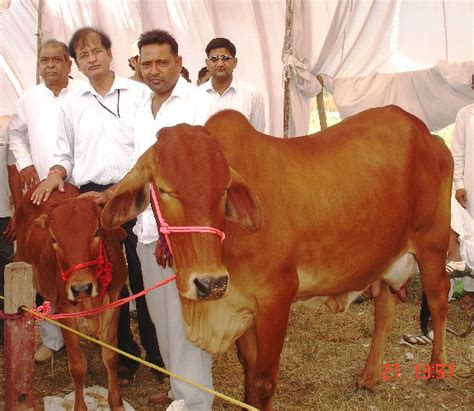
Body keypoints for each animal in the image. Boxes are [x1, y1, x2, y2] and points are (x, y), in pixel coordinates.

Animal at [16, 183, 128, 411]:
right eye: (54, 239)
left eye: (96, 232)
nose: (81, 287)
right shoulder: (66, 309)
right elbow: (77, 366)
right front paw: (80, 406)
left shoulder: (114, 302)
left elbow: (110, 356)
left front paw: (116, 402)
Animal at [101, 107, 452, 411]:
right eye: (164, 189)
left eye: (223, 191)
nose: (209, 283)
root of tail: (424, 132)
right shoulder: (242, 304)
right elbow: (249, 368)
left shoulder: (276, 299)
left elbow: (263, 380)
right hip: (386, 257)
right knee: (385, 309)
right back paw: (368, 377)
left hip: (433, 245)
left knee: (438, 299)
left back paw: (436, 370)